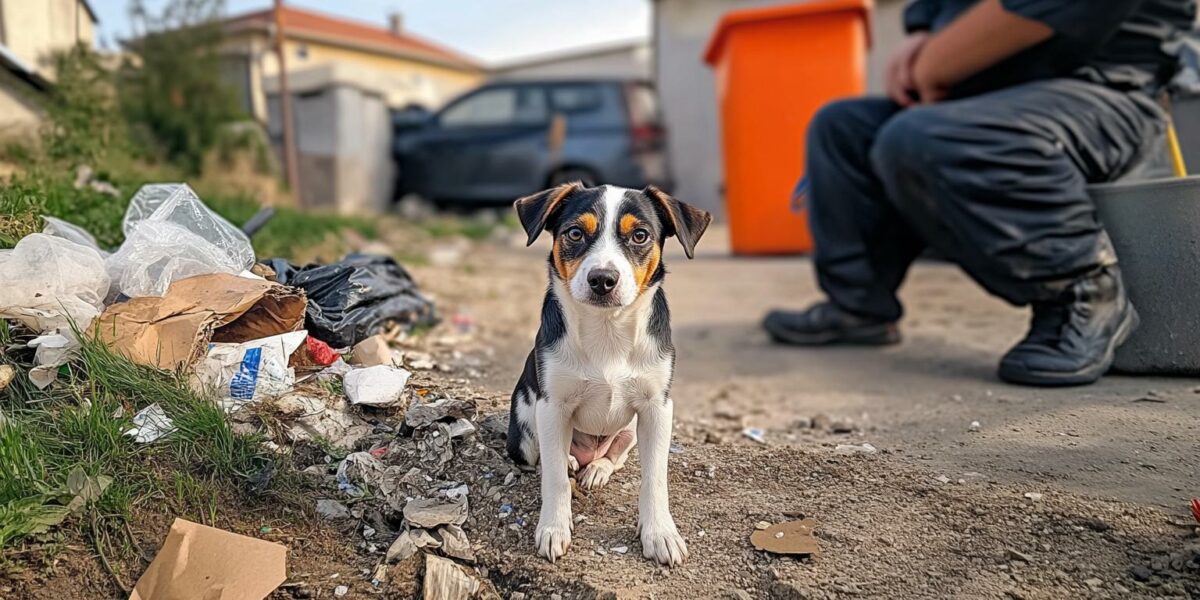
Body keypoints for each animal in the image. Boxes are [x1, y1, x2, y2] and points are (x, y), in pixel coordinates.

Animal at [501, 180, 705, 564]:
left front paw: (660, 533)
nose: (602, 279)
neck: (607, 329)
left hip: (629, 433)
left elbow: (654, 478)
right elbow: (554, 478)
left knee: (613, 457)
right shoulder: (552, 406)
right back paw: (571, 460)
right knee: (546, 458)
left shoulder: (658, 408)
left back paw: (596, 469)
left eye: (640, 235)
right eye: (575, 233)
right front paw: (553, 528)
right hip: (525, 427)